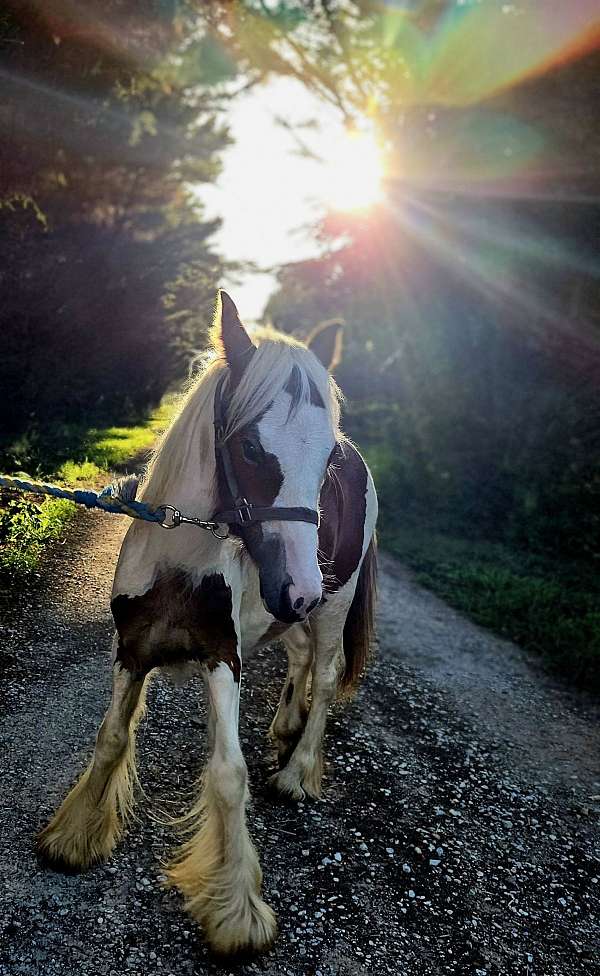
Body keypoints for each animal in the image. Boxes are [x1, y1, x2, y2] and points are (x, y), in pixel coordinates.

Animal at [37, 290, 378, 956]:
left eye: (324, 458)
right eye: (250, 448)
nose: (299, 588)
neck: (179, 559)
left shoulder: (224, 657)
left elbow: (227, 775)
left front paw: (236, 913)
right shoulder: (131, 652)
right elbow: (111, 738)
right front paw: (73, 839)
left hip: (333, 606)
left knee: (325, 676)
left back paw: (298, 771)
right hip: (290, 616)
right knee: (300, 659)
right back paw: (285, 725)